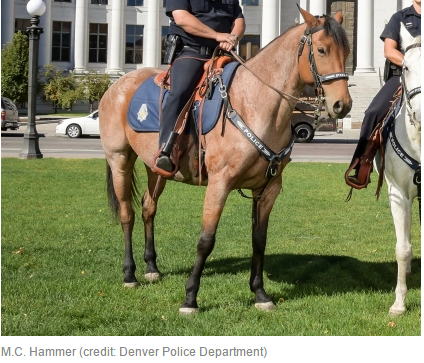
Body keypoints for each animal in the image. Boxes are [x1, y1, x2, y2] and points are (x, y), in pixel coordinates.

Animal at [98, 8, 352, 316]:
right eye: (322, 49)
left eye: (347, 51)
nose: (342, 105)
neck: (255, 103)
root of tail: (117, 85)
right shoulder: (219, 184)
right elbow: (206, 240)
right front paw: (190, 298)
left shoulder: (268, 188)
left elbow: (259, 240)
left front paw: (260, 293)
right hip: (120, 159)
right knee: (128, 214)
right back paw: (129, 273)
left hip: (155, 168)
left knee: (148, 207)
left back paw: (151, 267)